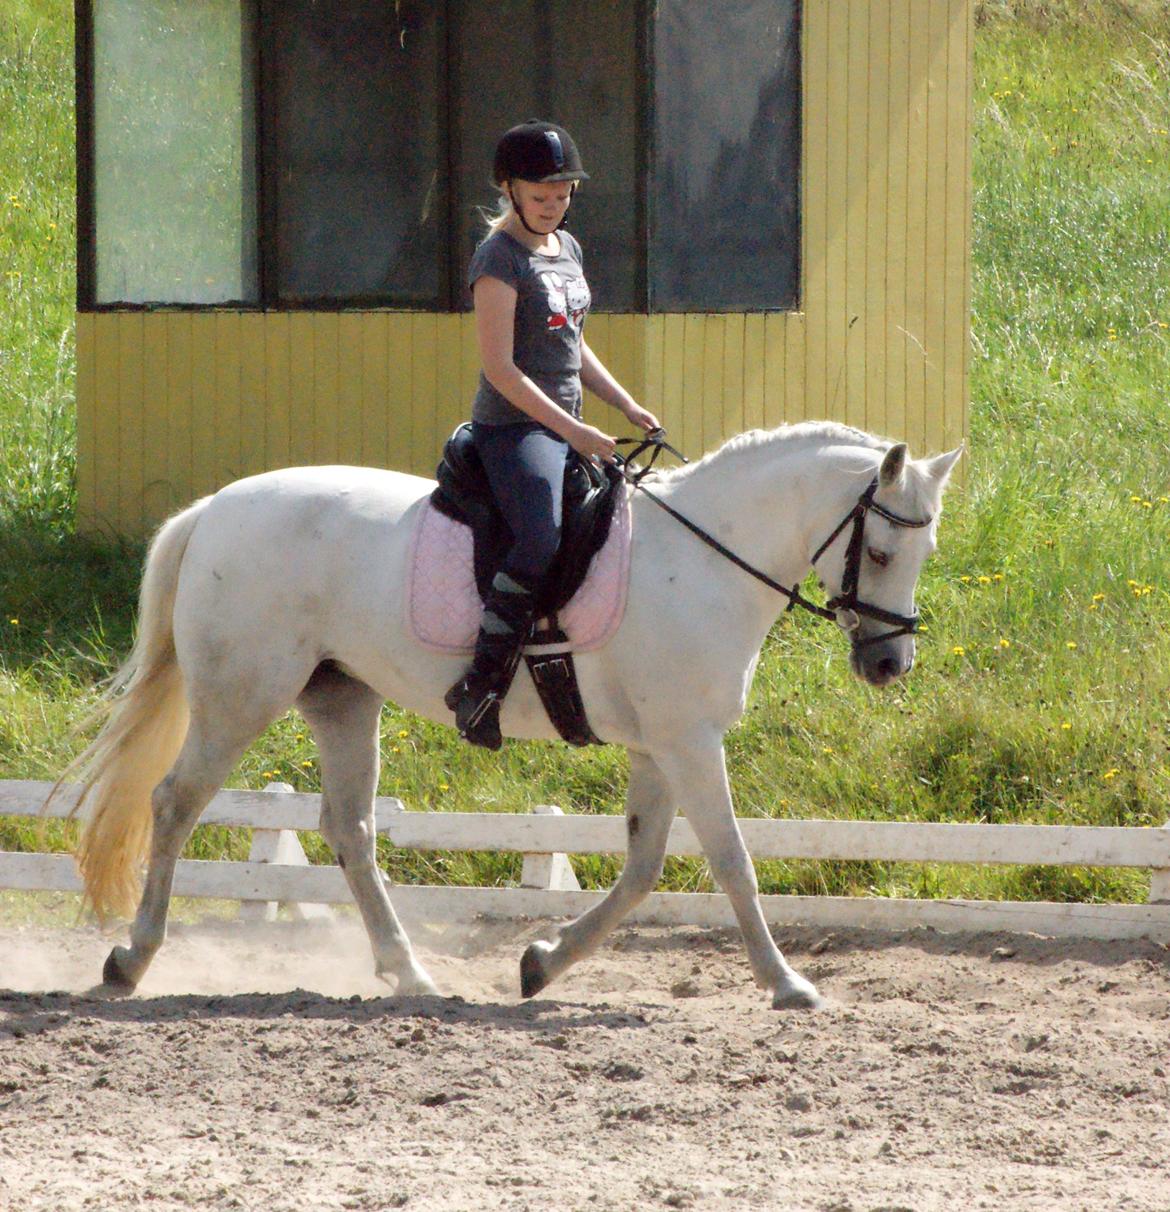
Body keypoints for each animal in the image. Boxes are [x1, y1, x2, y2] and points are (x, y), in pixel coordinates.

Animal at [66, 421, 960, 1008]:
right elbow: (732, 861)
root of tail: (214, 507)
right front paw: (787, 983)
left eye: (926, 553)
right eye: (881, 551)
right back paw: (129, 962)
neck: (708, 560)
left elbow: (642, 869)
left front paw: (542, 964)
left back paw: (410, 973)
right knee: (175, 804)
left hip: (342, 697)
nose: (889, 666)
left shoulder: (660, 746)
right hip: (242, 695)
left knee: (349, 828)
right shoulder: (689, 741)